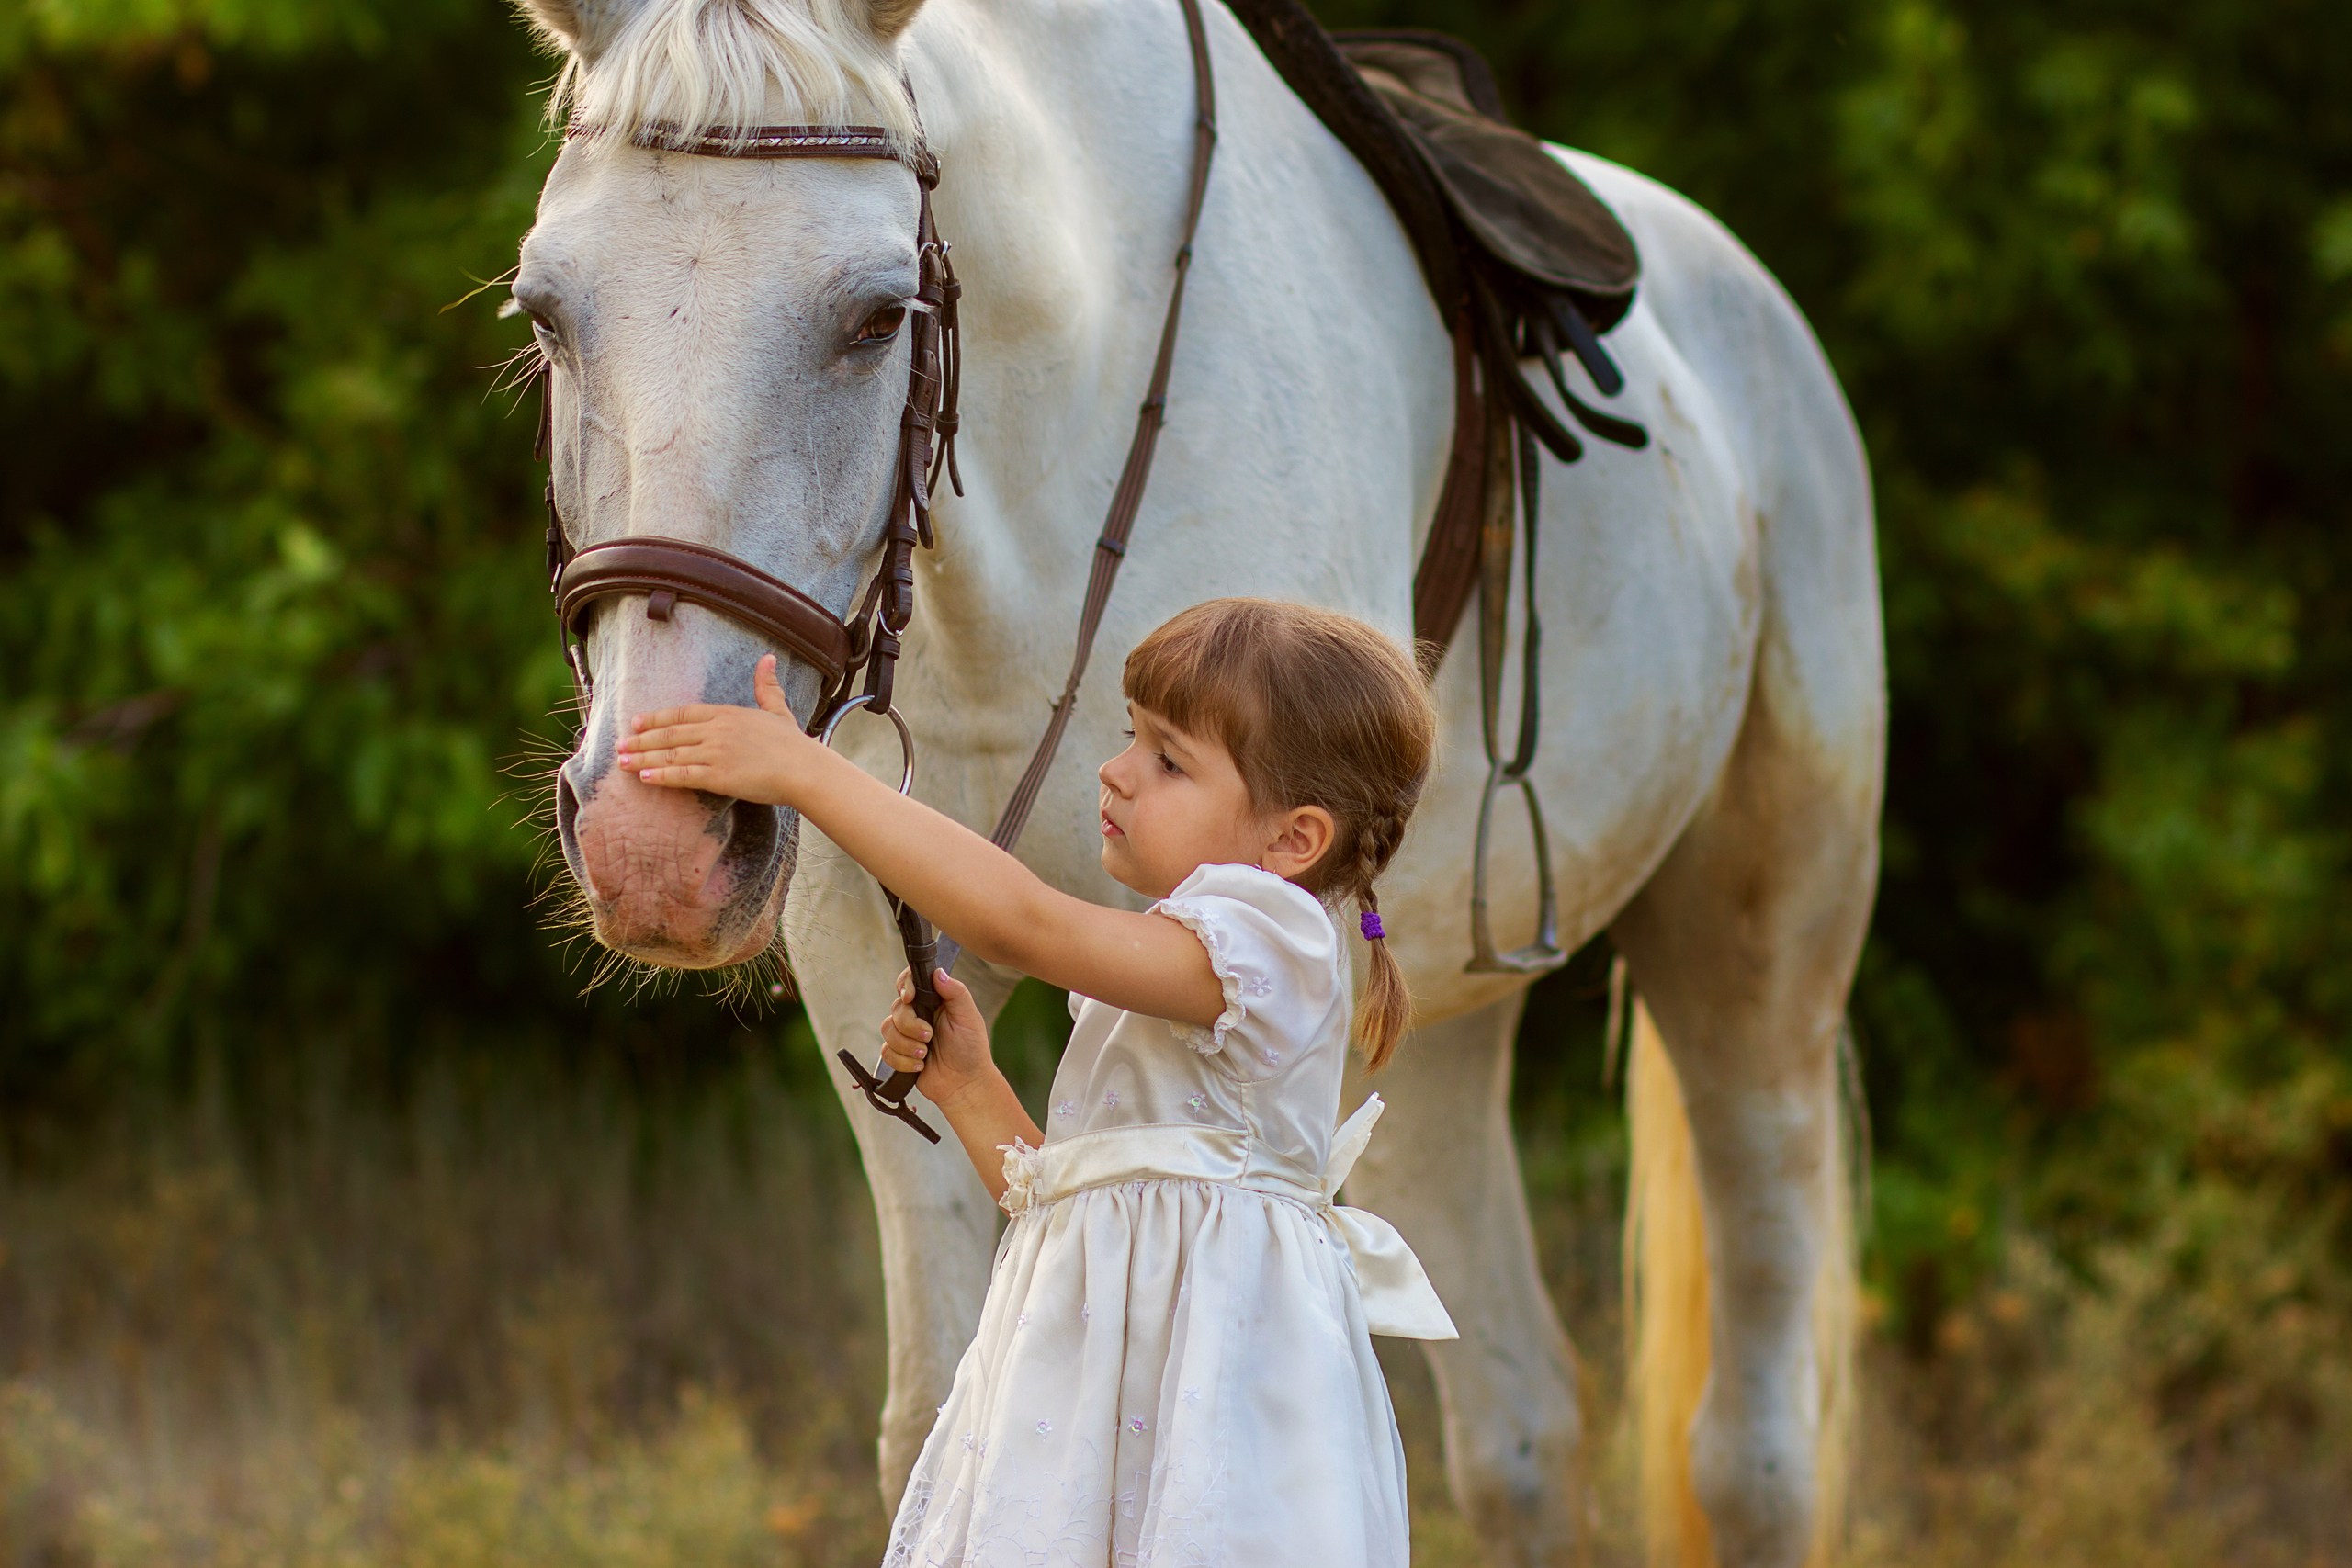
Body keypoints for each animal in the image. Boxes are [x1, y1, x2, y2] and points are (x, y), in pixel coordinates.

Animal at [519, 0, 1891, 1561]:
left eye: (875, 317)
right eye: (543, 313)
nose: (654, 843)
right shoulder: (874, 954)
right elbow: (933, 1406)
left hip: (1758, 962)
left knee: (1753, 1448)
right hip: (1432, 1018)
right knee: (1526, 1431)